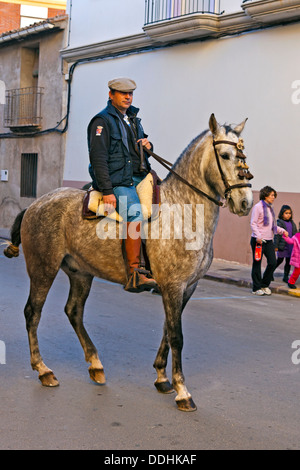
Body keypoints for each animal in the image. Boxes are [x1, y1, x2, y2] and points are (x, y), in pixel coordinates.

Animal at [4, 114, 253, 412]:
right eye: (225, 155)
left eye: (244, 154)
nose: (245, 201)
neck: (183, 210)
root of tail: (35, 204)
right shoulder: (173, 286)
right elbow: (176, 336)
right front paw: (182, 391)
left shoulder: (186, 288)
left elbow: (168, 330)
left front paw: (161, 378)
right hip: (43, 268)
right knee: (33, 312)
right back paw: (44, 370)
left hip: (80, 273)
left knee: (73, 311)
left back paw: (95, 365)